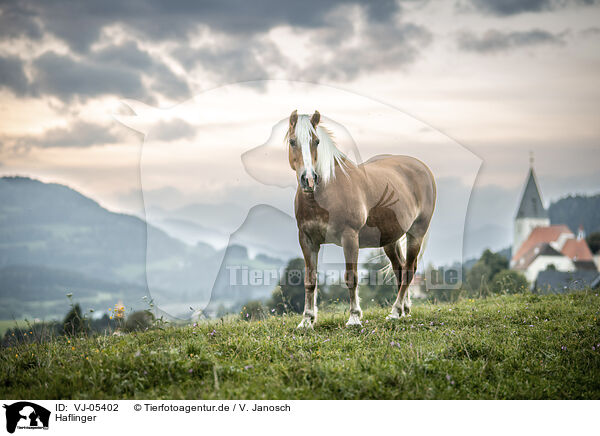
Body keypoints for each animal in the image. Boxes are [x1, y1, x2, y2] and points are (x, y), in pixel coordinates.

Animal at [288, 109, 436, 328]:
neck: (325, 195)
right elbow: (310, 280)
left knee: (409, 270)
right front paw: (307, 320)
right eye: (292, 141)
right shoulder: (307, 240)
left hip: (416, 232)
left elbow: (351, 277)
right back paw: (404, 310)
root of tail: (422, 167)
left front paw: (354, 318)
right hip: (390, 239)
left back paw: (395, 311)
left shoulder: (349, 237)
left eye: (316, 141)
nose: (309, 179)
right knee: (400, 269)